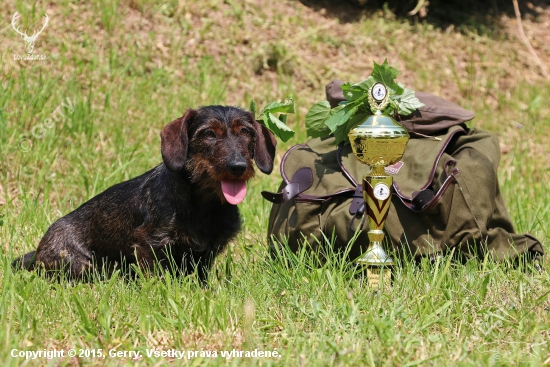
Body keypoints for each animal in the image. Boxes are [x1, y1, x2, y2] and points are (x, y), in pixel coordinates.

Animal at [11, 105, 280, 284]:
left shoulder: (207, 253)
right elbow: (155, 276)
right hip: (81, 264)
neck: (204, 204)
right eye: (209, 134)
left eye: (245, 132)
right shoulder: (149, 244)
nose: (238, 167)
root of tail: (37, 253)